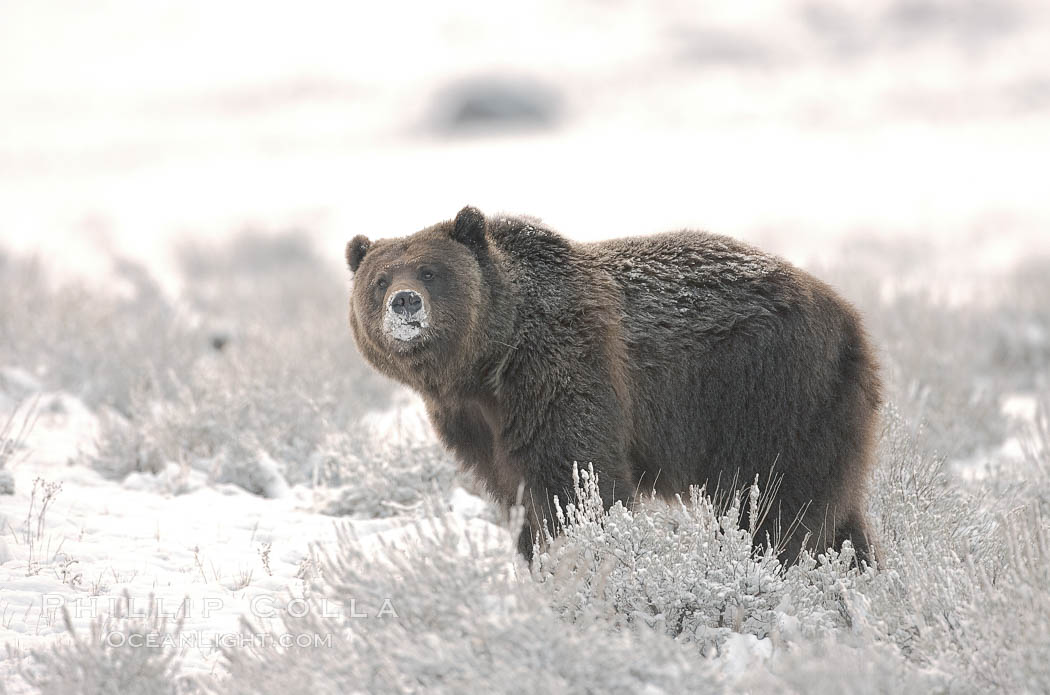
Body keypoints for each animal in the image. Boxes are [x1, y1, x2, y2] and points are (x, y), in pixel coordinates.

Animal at [346, 206, 881, 566]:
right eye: (380, 279)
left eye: (431, 271)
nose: (405, 302)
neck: (486, 363)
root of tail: (850, 318)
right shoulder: (474, 421)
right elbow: (515, 489)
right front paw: (532, 554)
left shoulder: (559, 367)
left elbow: (576, 476)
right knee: (833, 512)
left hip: (768, 388)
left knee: (772, 501)